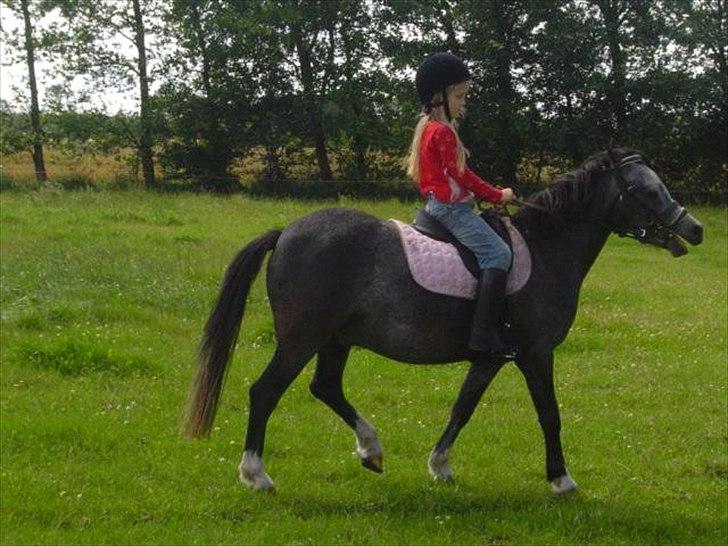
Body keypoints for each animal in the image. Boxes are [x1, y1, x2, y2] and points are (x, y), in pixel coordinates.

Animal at [183, 148, 703, 494]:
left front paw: (439, 466)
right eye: (645, 190)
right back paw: (256, 475)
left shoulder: (491, 358)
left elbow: (462, 407)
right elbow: (549, 414)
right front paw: (561, 479)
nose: (695, 229)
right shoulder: (536, 353)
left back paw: (371, 450)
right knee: (265, 392)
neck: (545, 245)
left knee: (325, 387)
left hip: (335, 339)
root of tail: (287, 231)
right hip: (301, 338)